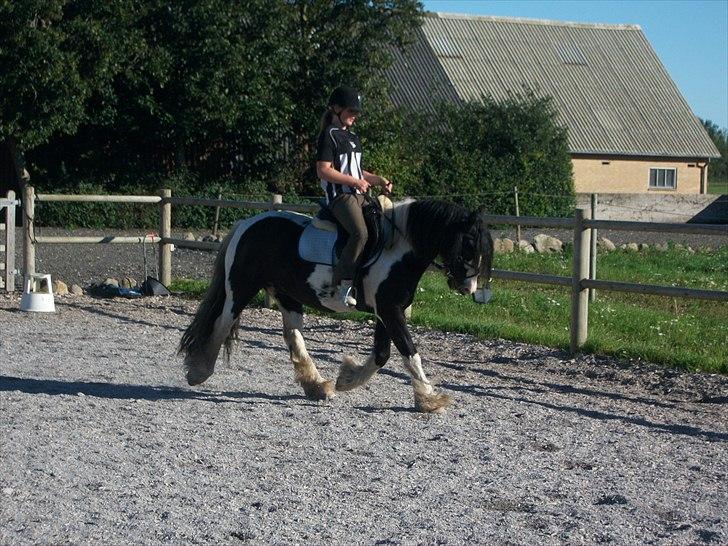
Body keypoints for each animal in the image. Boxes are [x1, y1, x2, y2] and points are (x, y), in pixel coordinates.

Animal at [178, 198, 492, 410]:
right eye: (468, 243)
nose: (468, 287)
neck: (397, 250)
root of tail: (247, 223)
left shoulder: (387, 312)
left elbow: (382, 355)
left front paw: (346, 379)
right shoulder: (389, 311)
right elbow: (408, 352)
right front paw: (429, 399)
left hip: (287, 295)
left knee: (293, 335)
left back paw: (317, 386)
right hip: (240, 289)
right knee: (222, 323)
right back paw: (199, 372)